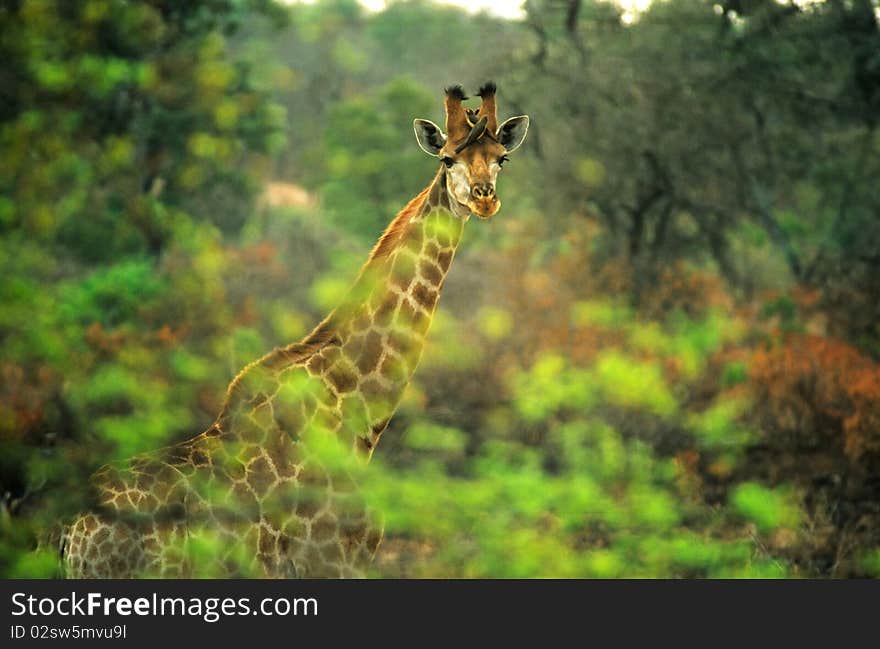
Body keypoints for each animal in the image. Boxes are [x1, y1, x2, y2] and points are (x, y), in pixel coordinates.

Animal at [63, 82, 528, 576]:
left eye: (501, 158)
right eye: (447, 159)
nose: (483, 198)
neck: (356, 418)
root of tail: (71, 535)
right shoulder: (330, 560)